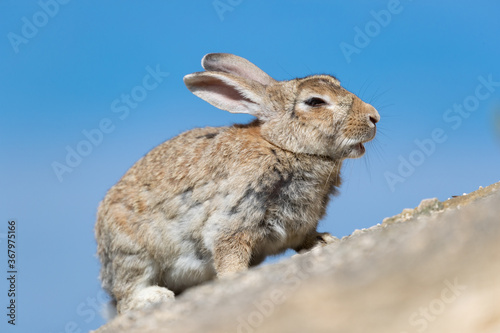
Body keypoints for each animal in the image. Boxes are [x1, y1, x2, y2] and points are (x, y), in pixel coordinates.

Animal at [94, 52, 378, 314]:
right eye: (315, 101)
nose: (374, 117)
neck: (282, 146)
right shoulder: (232, 221)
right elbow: (229, 255)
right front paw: (237, 277)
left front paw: (324, 241)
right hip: (132, 253)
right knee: (127, 295)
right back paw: (154, 297)